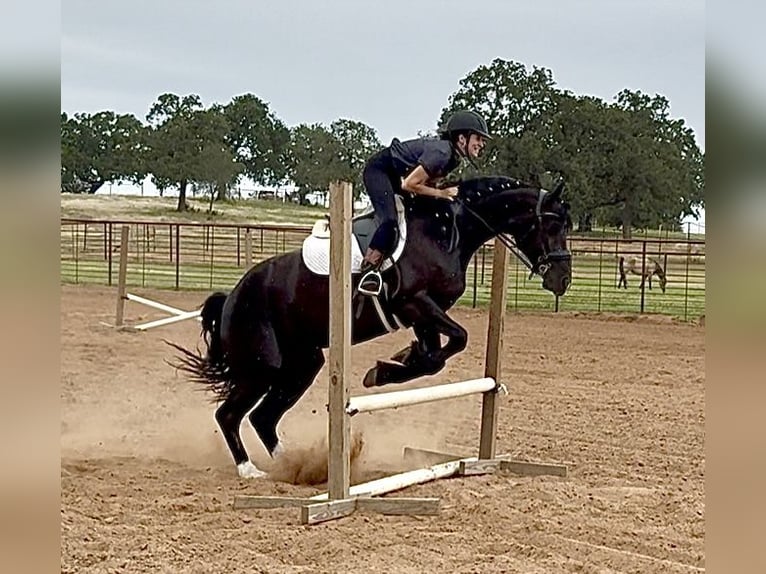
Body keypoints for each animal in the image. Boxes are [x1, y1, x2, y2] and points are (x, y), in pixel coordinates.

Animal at [171, 176, 573, 478]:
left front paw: (394, 364)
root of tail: (231, 297)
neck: (449, 228)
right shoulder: (415, 302)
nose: (563, 280)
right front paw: (384, 371)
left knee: (263, 418)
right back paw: (250, 470)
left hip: (302, 366)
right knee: (229, 415)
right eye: (553, 224)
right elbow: (456, 339)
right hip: (263, 367)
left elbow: (433, 357)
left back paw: (295, 467)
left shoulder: (422, 313)